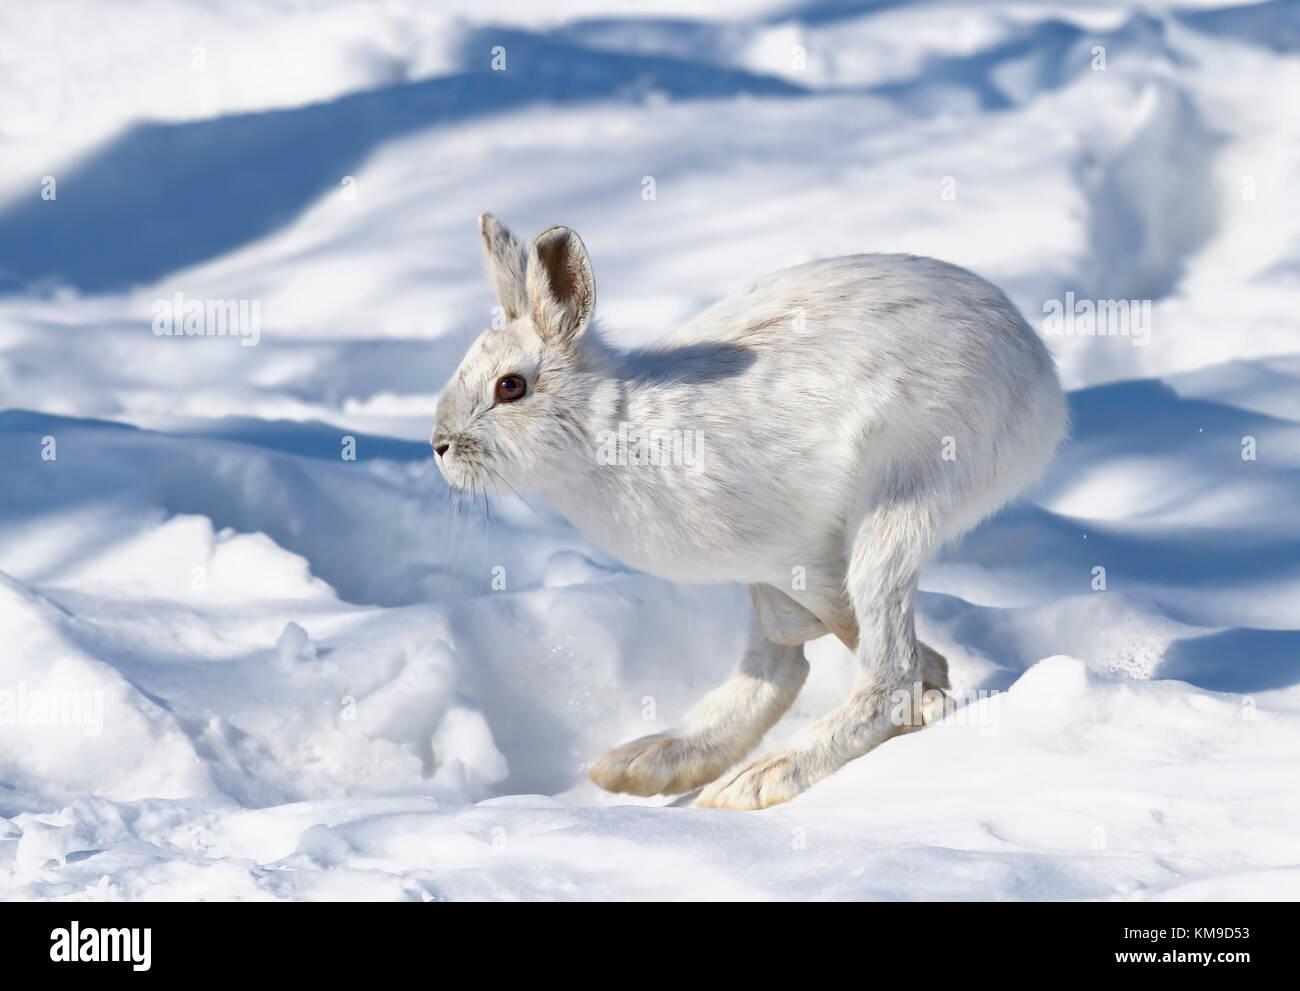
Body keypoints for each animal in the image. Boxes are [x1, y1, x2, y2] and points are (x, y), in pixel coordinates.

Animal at [431, 214, 1067, 810]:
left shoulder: (798, 551)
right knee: (784, 662)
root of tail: (1041, 382)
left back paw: (768, 775)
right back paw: (656, 762)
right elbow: (788, 640)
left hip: (904, 495)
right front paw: (936, 681)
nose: (439, 445)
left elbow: (835, 628)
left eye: (510, 387)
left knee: (887, 672)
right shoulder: (766, 566)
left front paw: (935, 684)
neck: (608, 428)